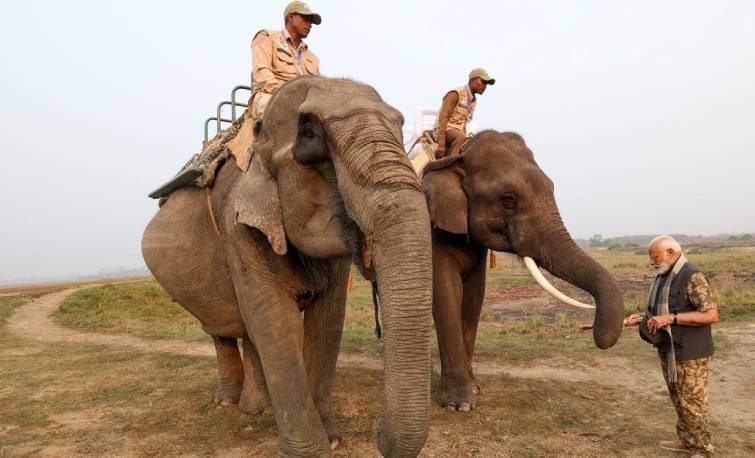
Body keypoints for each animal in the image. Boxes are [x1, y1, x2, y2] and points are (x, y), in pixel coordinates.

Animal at [142, 77, 434, 456]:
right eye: (309, 138)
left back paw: (258, 408)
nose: (377, 432)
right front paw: (312, 451)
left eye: (400, 128)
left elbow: (328, 319)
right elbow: (275, 321)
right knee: (223, 328)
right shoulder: (237, 222)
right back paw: (229, 403)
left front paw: (332, 439)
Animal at [420, 131, 628, 412]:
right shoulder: (432, 231)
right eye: (508, 200)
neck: (458, 155)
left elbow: (474, 297)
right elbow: (445, 294)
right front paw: (458, 405)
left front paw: (474, 389)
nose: (597, 334)